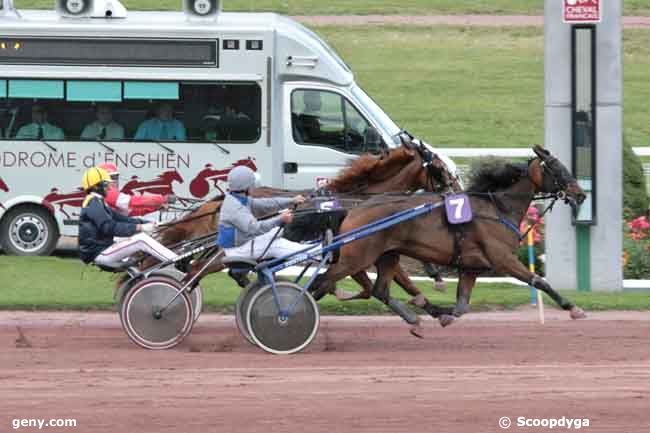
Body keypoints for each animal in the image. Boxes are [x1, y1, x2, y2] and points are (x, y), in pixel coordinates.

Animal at [308, 144, 588, 330]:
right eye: (557, 168)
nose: (581, 194)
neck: (497, 208)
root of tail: (352, 210)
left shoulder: (470, 267)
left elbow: (462, 305)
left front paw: (443, 313)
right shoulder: (503, 260)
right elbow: (540, 281)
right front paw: (574, 308)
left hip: (386, 256)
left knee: (378, 289)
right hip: (355, 258)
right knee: (322, 282)